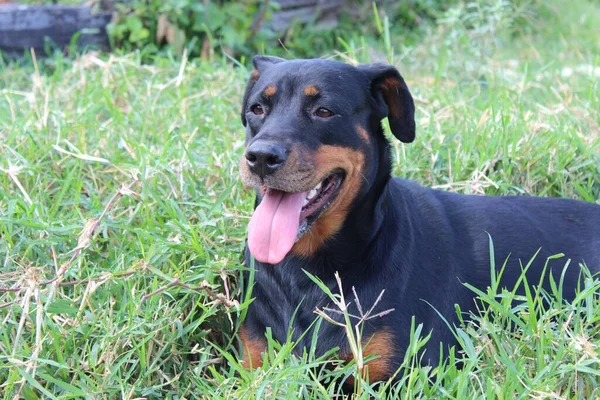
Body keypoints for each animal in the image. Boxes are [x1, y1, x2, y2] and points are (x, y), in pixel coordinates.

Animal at [237, 55, 596, 382]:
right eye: (257, 109)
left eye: (324, 111)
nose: (261, 157)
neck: (306, 269)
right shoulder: (256, 368)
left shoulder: (405, 375)